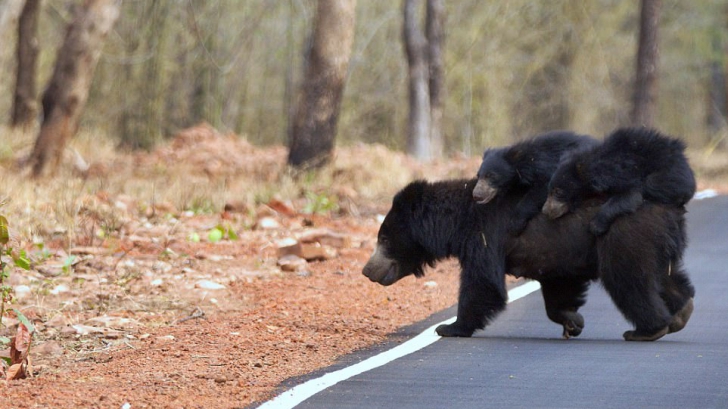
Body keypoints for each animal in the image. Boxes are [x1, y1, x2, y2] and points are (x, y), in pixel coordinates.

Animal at [364, 178, 692, 342]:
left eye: (384, 239)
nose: (367, 270)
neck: (455, 221)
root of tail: (672, 209)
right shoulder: (556, 251)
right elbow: (559, 283)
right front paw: (572, 321)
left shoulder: (485, 233)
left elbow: (482, 282)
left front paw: (450, 327)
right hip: (656, 244)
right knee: (665, 277)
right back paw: (681, 311)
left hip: (624, 236)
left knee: (628, 280)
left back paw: (646, 329)